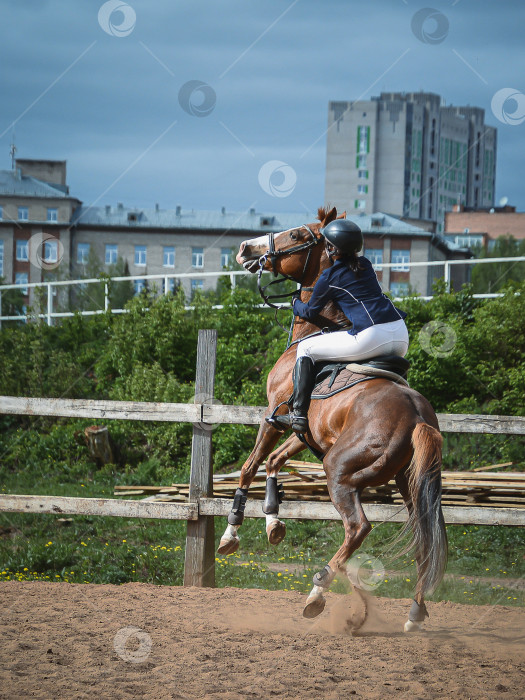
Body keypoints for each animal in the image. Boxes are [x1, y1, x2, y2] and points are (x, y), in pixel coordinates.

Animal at [215, 205, 444, 632]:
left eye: (295, 235)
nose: (245, 249)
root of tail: (418, 416)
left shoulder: (272, 418)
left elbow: (250, 466)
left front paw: (231, 534)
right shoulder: (302, 430)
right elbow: (273, 463)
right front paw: (273, 523)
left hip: (338, 469)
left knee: (358, 528)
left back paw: (318, 592)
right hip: (408, 482)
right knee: (424, 537)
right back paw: (413, 613)